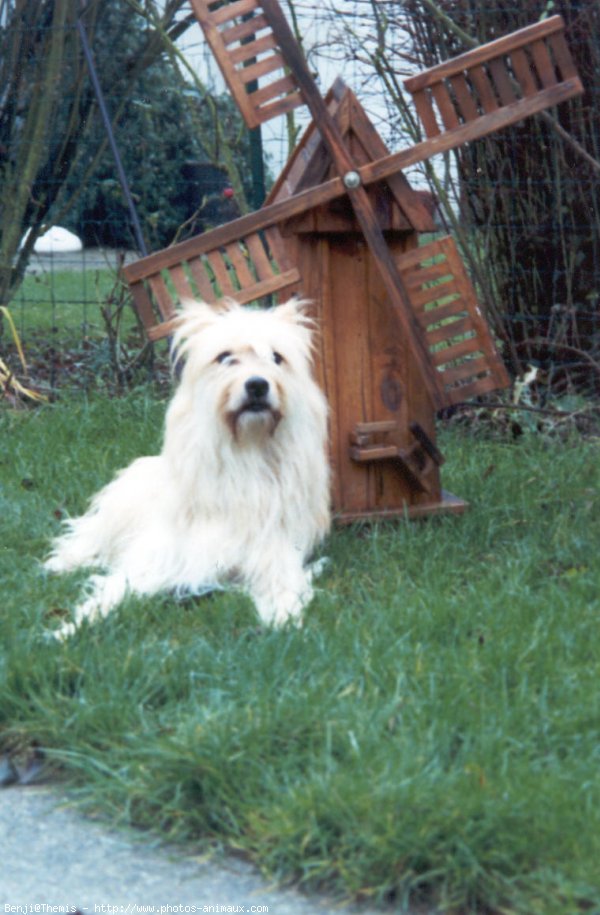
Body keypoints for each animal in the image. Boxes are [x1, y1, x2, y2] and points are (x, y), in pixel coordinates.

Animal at [45, 298, 330, 636]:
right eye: (225, 357)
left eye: (276, 358)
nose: (258, 385)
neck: (246, 452)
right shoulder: (161, 556)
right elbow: (114, 589)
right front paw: (73, 626)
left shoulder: (274, 553)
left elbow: (283, 587)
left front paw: (284, 620)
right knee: (87, 537)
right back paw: (62, 562)